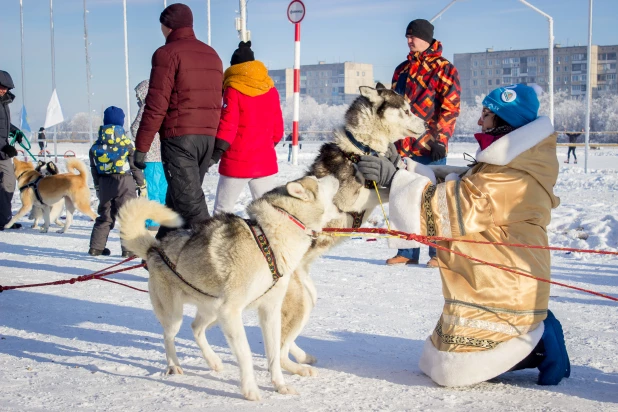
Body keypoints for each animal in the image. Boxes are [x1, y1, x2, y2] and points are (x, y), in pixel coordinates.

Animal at [119, 175, 342, 400]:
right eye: (317, 181)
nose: (335, 176)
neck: (267, 240)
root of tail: (153, 248)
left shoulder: (269, 311)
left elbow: (273, 355)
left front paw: (280, 385)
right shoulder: (231, 312)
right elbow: (246, 355)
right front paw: (250, 390)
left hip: (213, 312)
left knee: (196, 328)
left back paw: (213, 361)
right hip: (178, 316)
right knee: (168, 336)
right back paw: (174, 366)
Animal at [276, 82, 426, 374]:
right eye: (406, 109)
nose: (426, 124)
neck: (361, 148)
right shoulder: (349, 199)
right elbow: (385, 188)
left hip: (308, 298)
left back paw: (302, 357)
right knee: (279, 346)